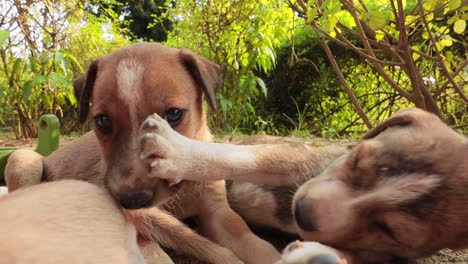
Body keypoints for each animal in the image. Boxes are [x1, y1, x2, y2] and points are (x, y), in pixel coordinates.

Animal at [139, 108, 468, 264]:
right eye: (357, 158)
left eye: (391, 229)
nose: (303, 212)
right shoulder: (300, 159)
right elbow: (243, 159)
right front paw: (176, 150)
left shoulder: (381, 253)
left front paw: (314, 255)